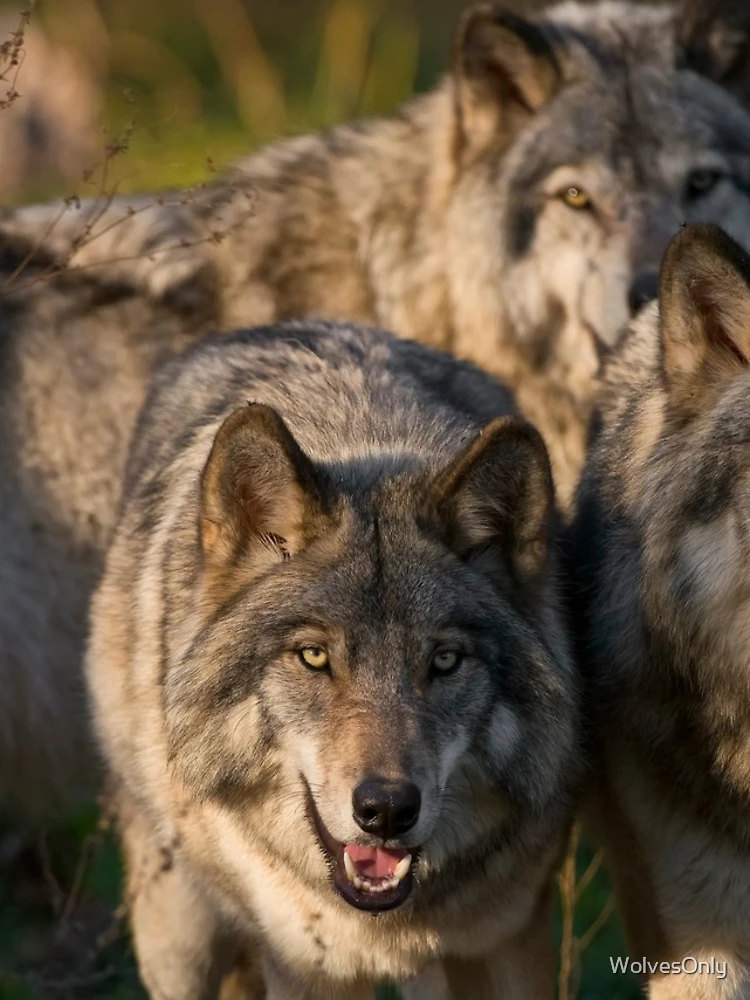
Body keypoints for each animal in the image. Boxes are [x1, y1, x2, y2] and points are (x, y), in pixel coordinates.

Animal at [85, 320, 580, 1000]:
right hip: (176, 934)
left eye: (445, 661)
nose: (387, 811)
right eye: (314, 656)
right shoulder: (303, 966)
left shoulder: (507, 941)